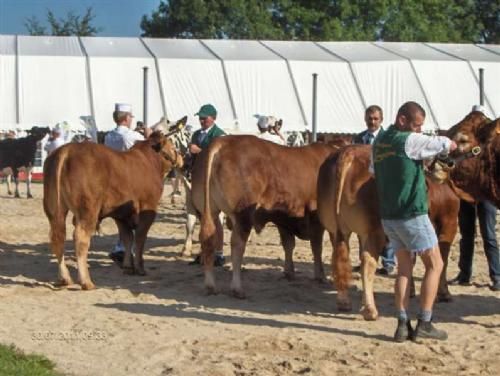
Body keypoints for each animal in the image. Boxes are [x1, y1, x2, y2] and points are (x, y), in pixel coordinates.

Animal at [43, 131, 183, 290]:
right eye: (172, 146)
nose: (181, 157)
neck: (150, 161)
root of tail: (66, 150)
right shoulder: (148, 208)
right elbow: (140, 238)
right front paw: (140, 268)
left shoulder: (121, 215)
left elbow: (128, 238)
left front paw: (128, 267)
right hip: (88, 210)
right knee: (80, 238)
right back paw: (86, 281)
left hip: (55, 209)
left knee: (57, 237)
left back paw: (64, 278)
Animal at [191, 135, 340, 296]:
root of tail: (222, 142)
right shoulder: (317, 219)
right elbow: (317, 247)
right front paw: (321, 276)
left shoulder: (284, 219)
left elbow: (289, 245)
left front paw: (289, 272)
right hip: (243, 214)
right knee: (237, 245)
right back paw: (237, 288)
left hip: (209, 211)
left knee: (208, 240)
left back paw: (210, 285)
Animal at [318, 144, 458, 320]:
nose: (449, 162)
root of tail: (349, 152)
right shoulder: (449, 225)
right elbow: (443, 260)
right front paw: (444, 293)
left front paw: (410, 291)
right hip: (374, 230)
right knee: (367, 263)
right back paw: (370, 310)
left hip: (336, 228)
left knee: (340, 259)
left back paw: (344, 302)